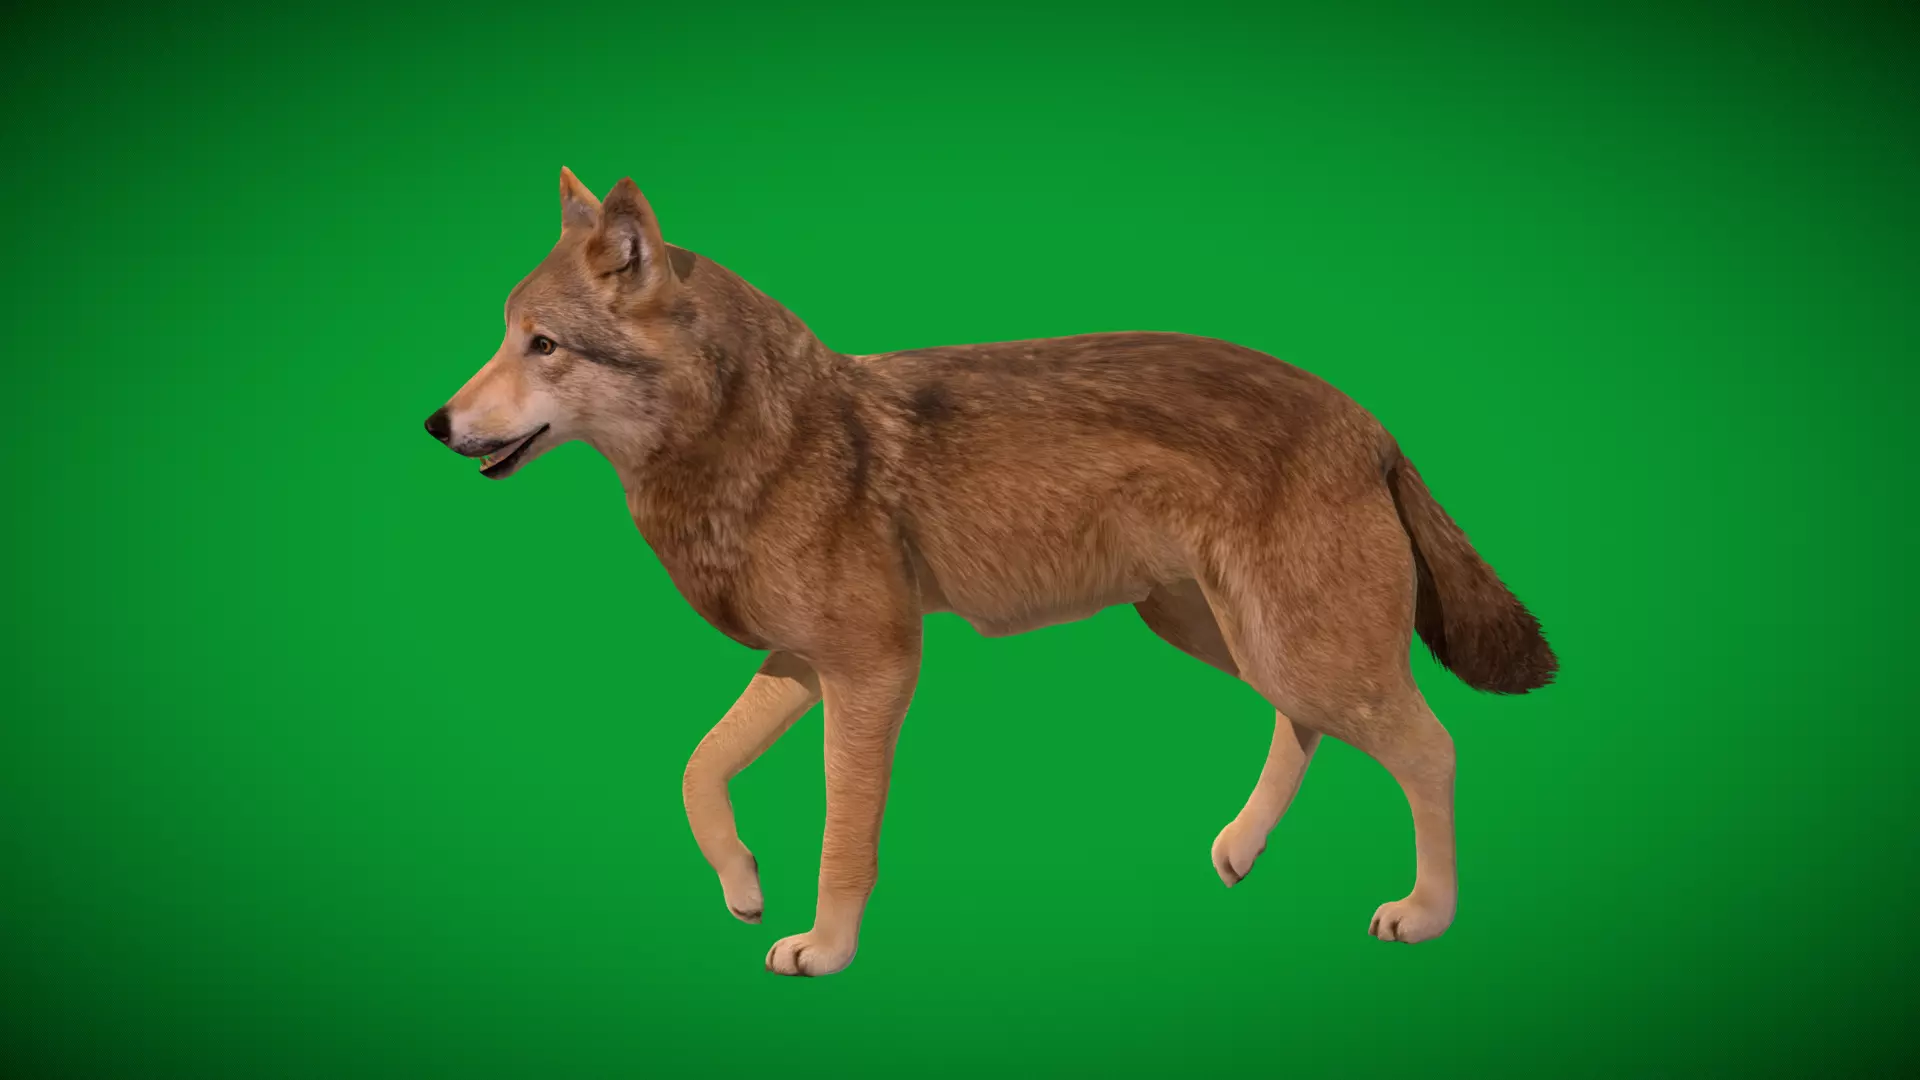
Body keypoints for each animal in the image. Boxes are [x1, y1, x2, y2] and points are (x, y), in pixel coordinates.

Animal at [423, 168, 1557, 977]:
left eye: (544, 345)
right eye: (504, 338)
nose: (435, 423)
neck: (756, 440)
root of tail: (1370, 422)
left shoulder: (875, 670)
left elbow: (843, 835)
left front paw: (824, 950)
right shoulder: (803, 664)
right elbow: (699, 770)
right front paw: (743, 887)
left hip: (1295, 647)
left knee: (1433, 748)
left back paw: (1427, 913)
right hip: (1230, 637)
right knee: (1307, 724)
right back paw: (1239, 848)